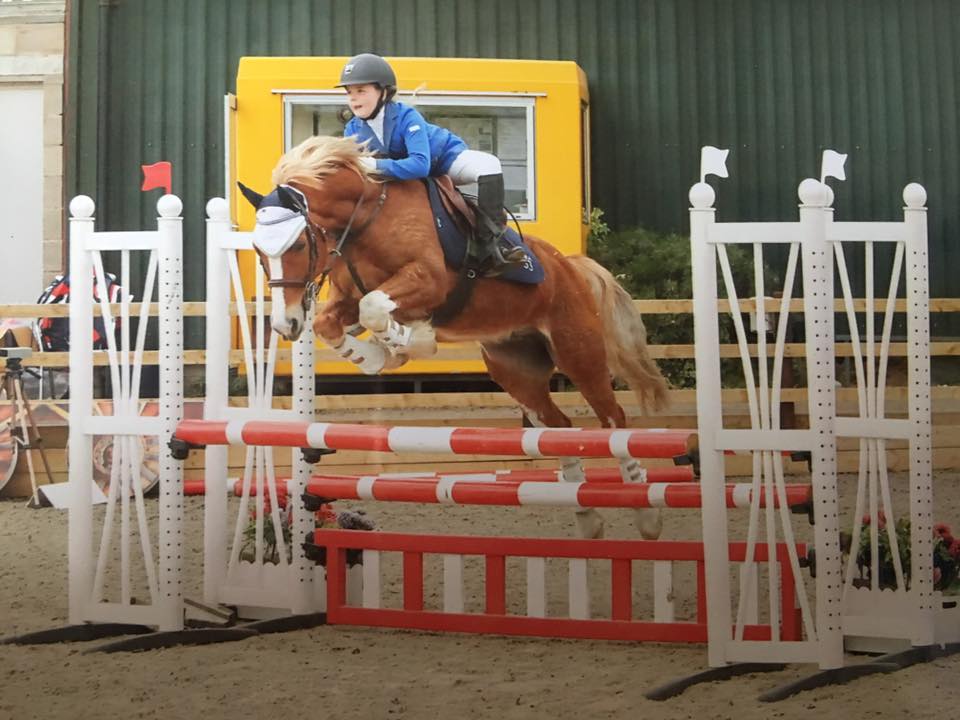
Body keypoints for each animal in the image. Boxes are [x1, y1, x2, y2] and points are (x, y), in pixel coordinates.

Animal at [239, 135, 671, 539]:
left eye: (297, 244)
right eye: (258, 250)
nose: (286, 326)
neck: (364, 218)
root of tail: (571, 265)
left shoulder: (427, 281)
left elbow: (375, 308)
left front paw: (411, 342)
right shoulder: (347, 298)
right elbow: (335, 322)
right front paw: (382, 355)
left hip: (578, 352)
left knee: (613, 419)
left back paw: (646, 514)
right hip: (515, 370)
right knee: (558, 427)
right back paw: (586, 515)